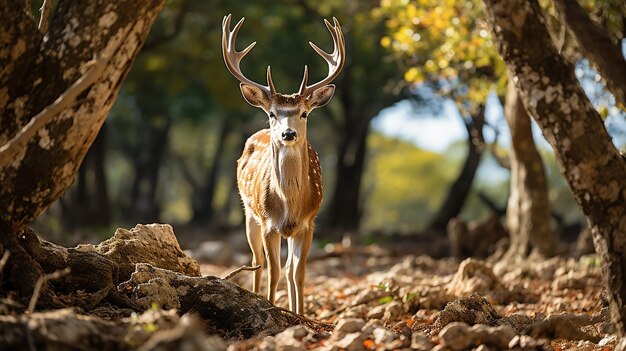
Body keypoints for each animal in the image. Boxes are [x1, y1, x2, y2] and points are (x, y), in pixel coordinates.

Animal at [222, 15, 344, 314]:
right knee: (257, 261)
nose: (288, 134)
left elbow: (298, 273)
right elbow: (273, 272)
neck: (290, 205)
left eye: (304, 113)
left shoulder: (309, 224)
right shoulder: (268, 224)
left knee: (287, 269)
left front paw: (300, 315)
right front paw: (270, 307)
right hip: (249, 213)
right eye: (271, 113)